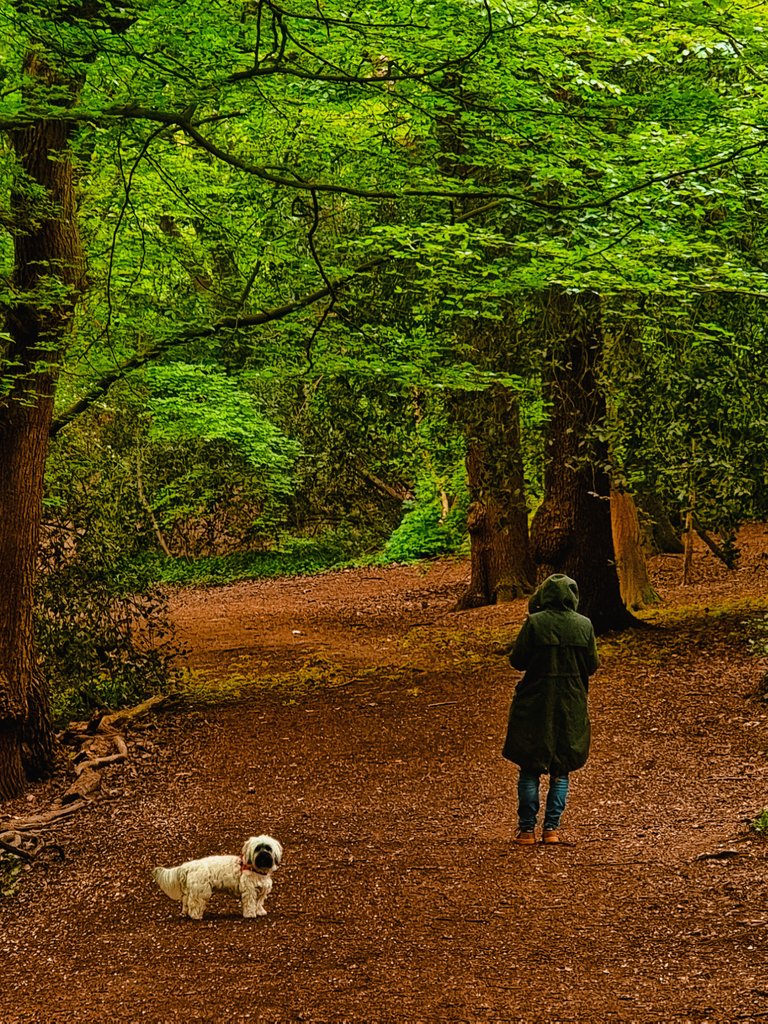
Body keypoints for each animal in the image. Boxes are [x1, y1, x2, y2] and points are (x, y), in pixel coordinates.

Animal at [152, 835, 282, 925]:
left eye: (268, 848)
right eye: (258, 848)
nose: (264, 855)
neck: (256, 868)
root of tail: (189, 866)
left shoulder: (261, 891)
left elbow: (259, 903)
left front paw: (260, 911)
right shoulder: (249, 891)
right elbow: (250, 903)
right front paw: (250, 914)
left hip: (191, 891)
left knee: (187, 903)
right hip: (201, 891)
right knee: (195, 904)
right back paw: (196, 916)